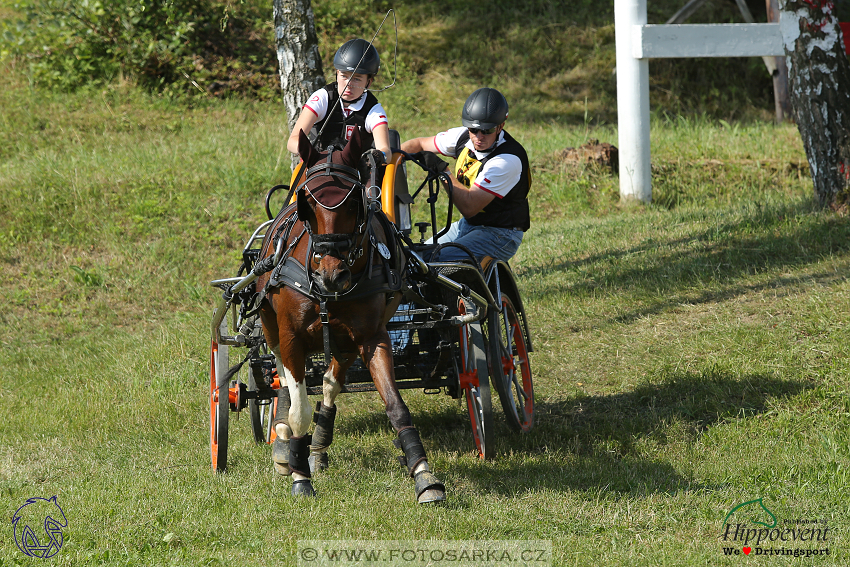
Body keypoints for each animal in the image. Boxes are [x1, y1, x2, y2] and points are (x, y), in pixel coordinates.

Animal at [255, 130, 448, 506]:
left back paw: (317, 445)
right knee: (283, 378)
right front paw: (299, 475)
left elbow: (396, 406)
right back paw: (285, 443)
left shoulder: (372, 338)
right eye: (308, 205)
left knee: (332, 381)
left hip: (343, 341)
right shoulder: (290, 337)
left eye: (353, 203)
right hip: (271, 328)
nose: (332, 275)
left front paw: (423, 474)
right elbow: (298, 408)